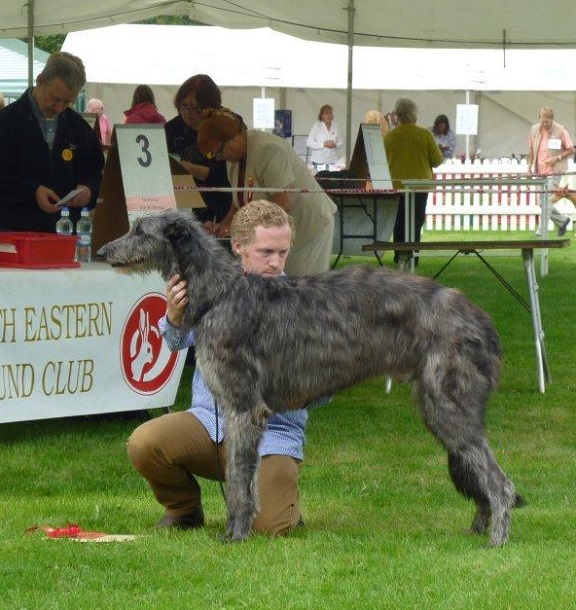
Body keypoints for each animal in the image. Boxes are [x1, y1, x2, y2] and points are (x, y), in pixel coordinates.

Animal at [98, 210, 520, 548]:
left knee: (501, 483)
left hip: (448, 404)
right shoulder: (239, 414)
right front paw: (236, 530)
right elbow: (239, 477)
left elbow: (237, 482)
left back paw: (496, 541)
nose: (101, 252)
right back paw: (478, 529)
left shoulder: (243, 409)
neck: (220, 293)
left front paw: (236, 536)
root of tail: (479, 318)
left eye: (139, 229)